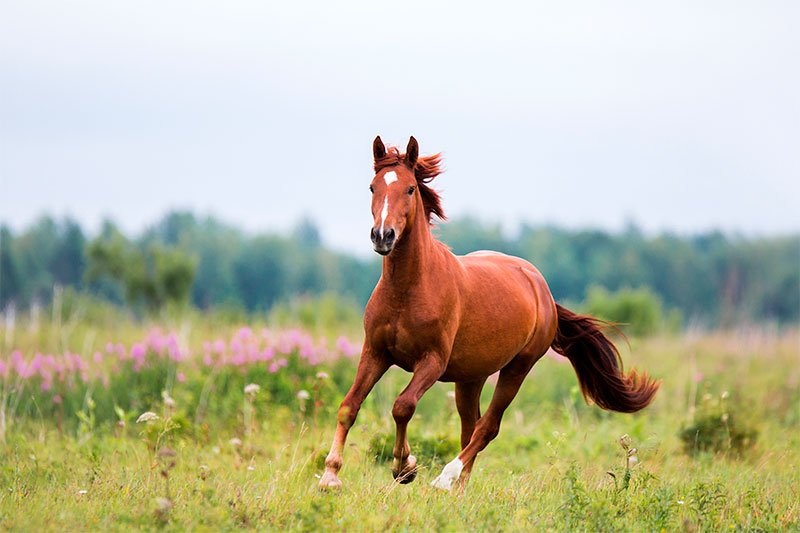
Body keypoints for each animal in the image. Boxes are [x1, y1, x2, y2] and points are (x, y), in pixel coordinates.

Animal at [316, 136, 660, 490]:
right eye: (373, 187)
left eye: (410, 189)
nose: (383, 236)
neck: (408, 290)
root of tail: (542, 289)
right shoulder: (375, 352)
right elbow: (349, 406)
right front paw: (330, 476)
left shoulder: (432, 361)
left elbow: (403, 406)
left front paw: (404, 467)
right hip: (471, 378)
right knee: (471, 427)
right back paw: (459, 488)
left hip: (517, 368)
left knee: (487, 427)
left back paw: (446, 478)